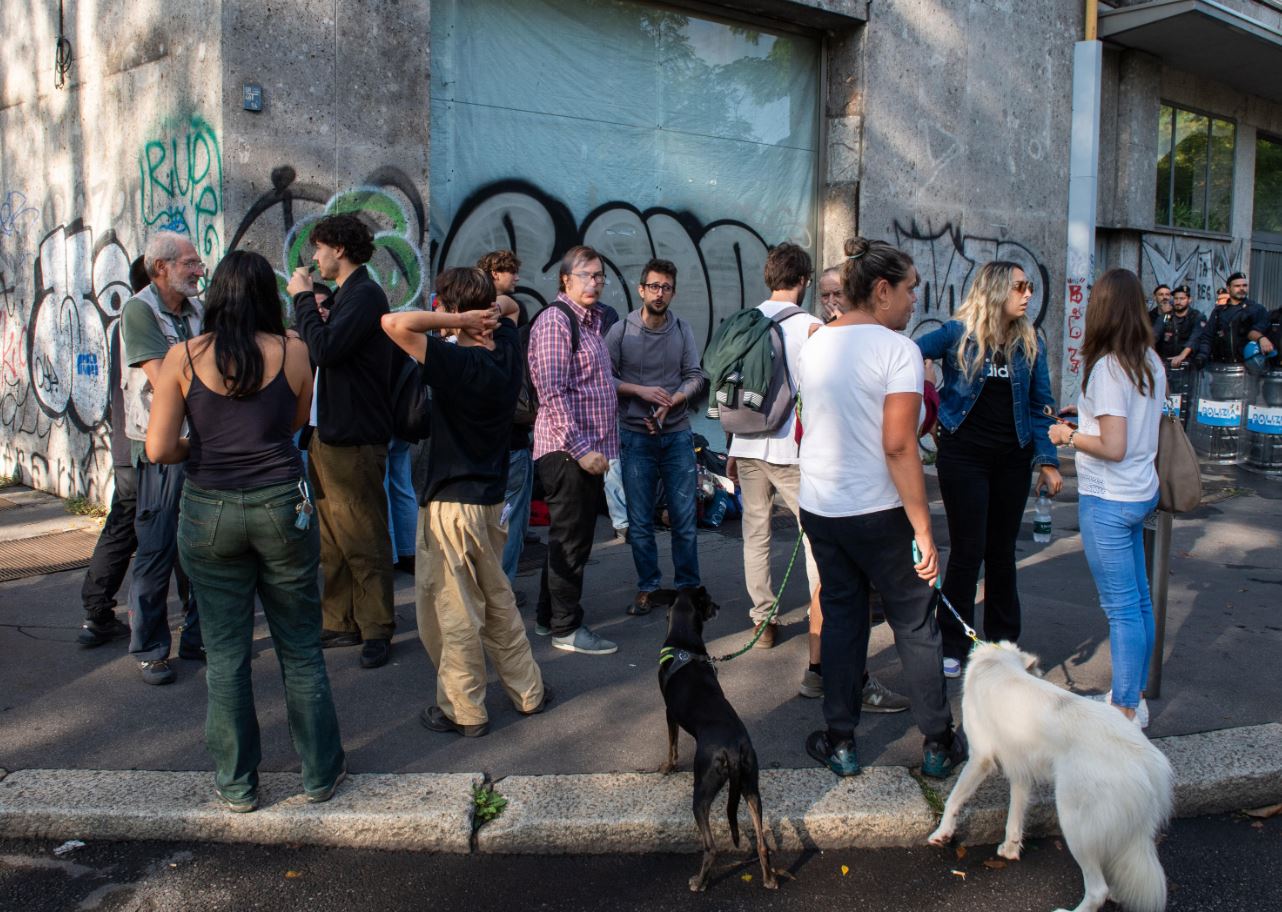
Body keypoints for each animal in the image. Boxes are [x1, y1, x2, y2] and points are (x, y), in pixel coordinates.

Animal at [656, 584, 774, 892]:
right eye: (709, 602)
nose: (718, 606)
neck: (684, 643)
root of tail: (732, 750)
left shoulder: (669, 712)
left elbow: (671, 745)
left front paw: (668, 767)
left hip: (702, 791)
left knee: (711, 847)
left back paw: (699, 882)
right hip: (750, 785)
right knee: (762, 842)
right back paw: (769, 879)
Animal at [928, 641, 1174, 912]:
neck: (997, 662)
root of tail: (1144, 758)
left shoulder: (980, 759)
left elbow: (953, 799)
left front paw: (942, 833)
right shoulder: (1020, 769)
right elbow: (1015, 816)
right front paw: (1010, 849)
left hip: (1074, 823)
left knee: (1097, 889)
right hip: (1126, 831)